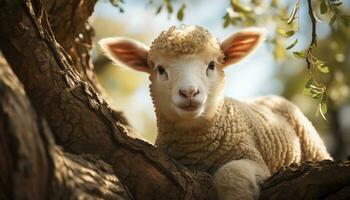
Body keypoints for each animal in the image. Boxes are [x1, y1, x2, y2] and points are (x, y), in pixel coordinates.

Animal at [98, 25, 330, 200]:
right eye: (160, 70)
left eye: (211, 65)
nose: (189, 92)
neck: (198, 145)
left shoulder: (256, 161)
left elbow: (230, 174)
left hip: (312, 145)